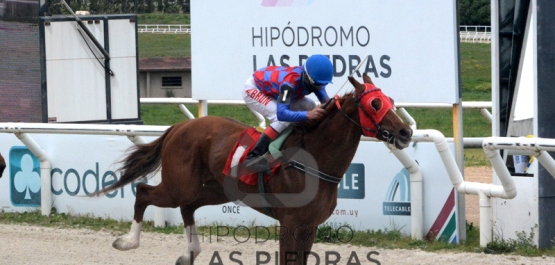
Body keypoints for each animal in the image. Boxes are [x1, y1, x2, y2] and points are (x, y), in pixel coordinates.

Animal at [94, 73, 412, 262]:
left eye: (391, 100)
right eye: (374, 103)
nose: (406, 132)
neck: (315, 160)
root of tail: (179, 127)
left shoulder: (309, 226)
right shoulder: (291, 223)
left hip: (217, 189)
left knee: (188, 206)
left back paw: (190, 253)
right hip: (178, 185)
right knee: (144, 191)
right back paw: (128, 242)